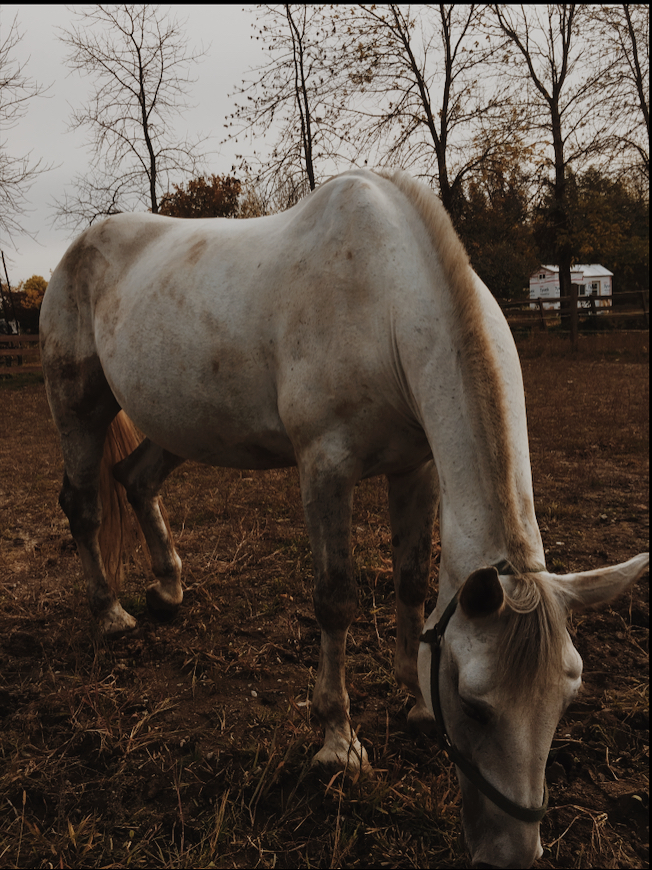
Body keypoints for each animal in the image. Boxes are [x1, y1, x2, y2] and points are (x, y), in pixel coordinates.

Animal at [40, 167, 648, 868]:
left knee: (136, 482)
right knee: (84, 505)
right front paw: (338, 743)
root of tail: (79, 247)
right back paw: (111, 614)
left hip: (176, 424)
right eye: (475, 705)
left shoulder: (416, 469)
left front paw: (414, 700)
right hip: (78, 407)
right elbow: (335, 600)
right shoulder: (325, 468)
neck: (383, 305)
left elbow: (412, 583)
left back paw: (168, 590)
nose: (512, 855)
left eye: (567, 699)